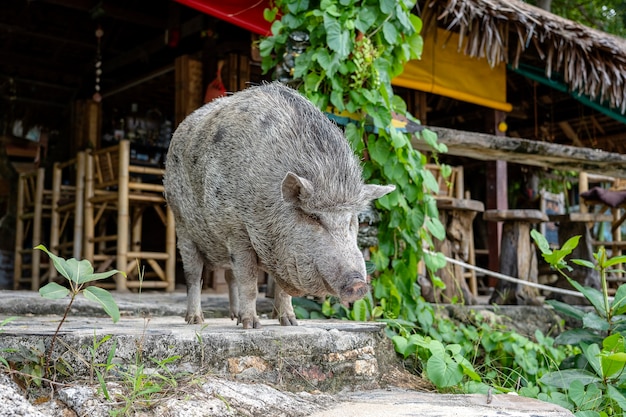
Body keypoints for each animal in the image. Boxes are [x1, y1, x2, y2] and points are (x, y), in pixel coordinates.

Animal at [163, 82, 392, 328]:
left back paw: (234, 317)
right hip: (182, 226)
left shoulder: (282, 256)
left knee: (229, 275)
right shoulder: (236, 232)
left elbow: (282, 290)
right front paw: (252, 325)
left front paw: (290, 323)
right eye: (314, 217)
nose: (358, 284)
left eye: (351, 220)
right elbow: (249, 283)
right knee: (194, 276)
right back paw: (196, 320)